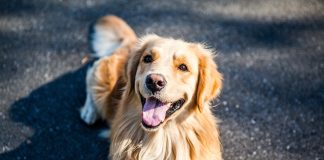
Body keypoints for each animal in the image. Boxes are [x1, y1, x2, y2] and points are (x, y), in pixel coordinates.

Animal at [80, 14, 223, 159]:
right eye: (148, 58)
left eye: (183, 67)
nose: (154, 82)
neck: (159, 139)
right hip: (102, 80)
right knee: (91, 70)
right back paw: (89, 111)